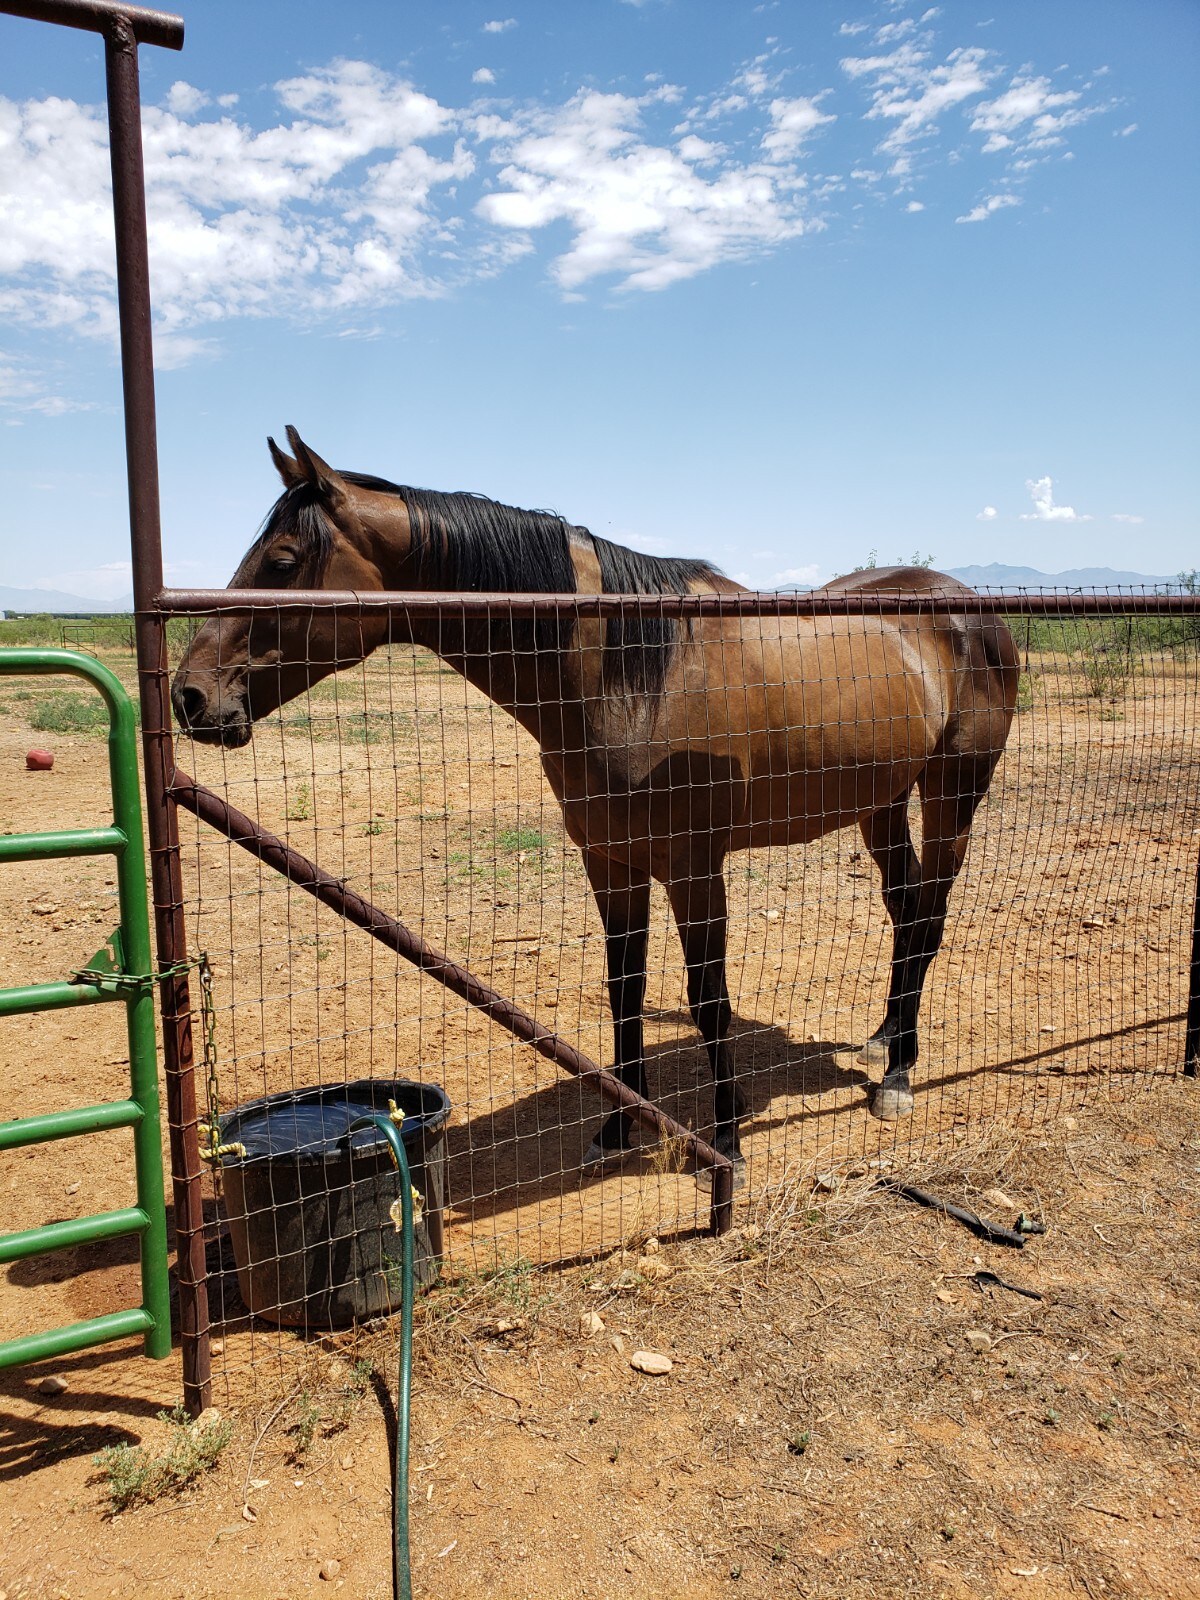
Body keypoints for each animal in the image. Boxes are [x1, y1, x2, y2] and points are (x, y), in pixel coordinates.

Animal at [173, 432, 1017, 1184]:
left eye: (283, 561)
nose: (191, 696)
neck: (627, 673)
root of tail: (966, 610)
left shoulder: (693, 868)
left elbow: (709, 1001)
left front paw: (727, 1143)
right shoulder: (611, 862)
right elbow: (624, 991)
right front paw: (619, 1127)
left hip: (952, 794)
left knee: (928, 916)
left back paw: (899, 1076)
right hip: (883, 801)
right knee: (906, 912)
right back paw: (882, 1042)